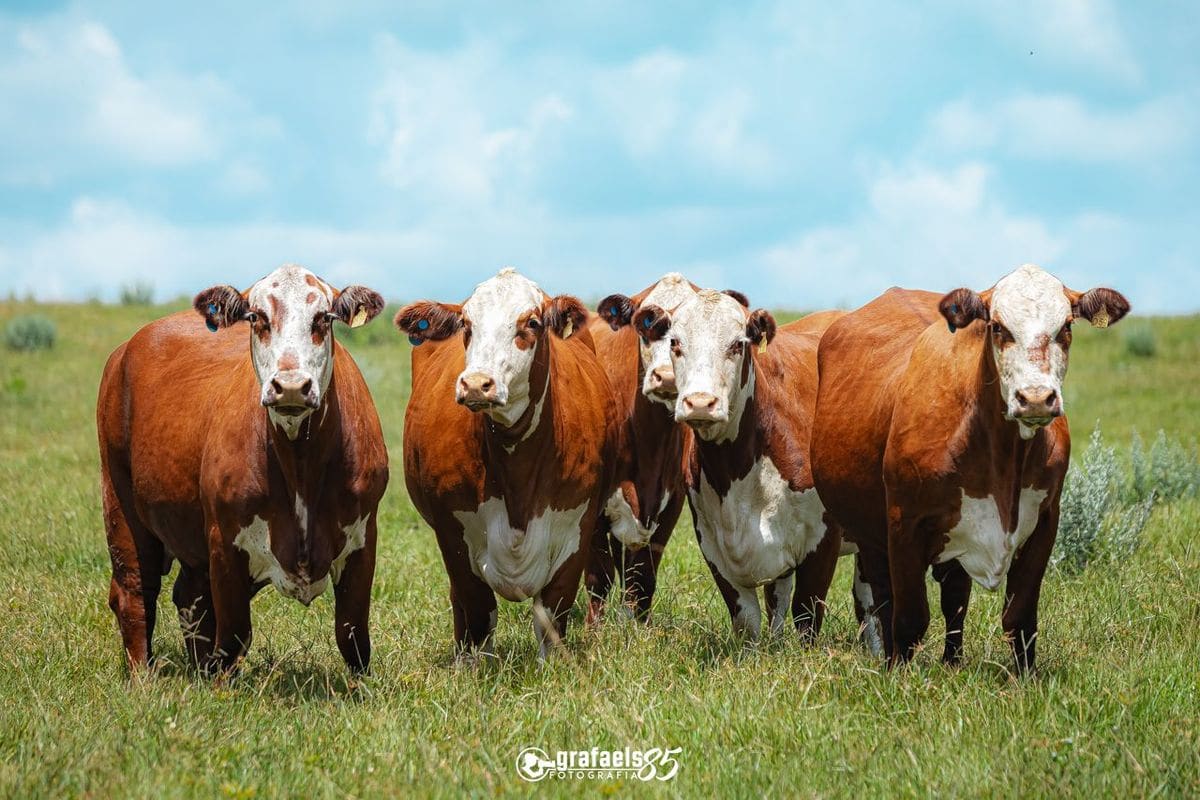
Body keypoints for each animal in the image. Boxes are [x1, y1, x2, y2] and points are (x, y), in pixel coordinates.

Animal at [96, 264, 389, 676]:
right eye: (257, 317)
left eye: (323, 318)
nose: (291, 386)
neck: (300, 463)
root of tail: (125, 350)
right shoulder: (224, 541)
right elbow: (234, 634)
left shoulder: (363, 539)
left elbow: (353, 637)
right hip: (120, 502)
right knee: (135, 592)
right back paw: (143, 677)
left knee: (190, 598)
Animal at [395, 268, 618, 659]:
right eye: (466, 323)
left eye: (531, 322)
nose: (475, 384)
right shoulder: (452, 531)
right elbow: (476, 611)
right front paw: (473, 666)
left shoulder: (577, 528)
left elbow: (552, 615)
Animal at [633, 289, 845, 640]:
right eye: (675, 342)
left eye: (737, 344)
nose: (700, 403)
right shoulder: (713, 544)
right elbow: (747, 620)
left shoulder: (823, 541)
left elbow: (807, 618)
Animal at [811, 264, 1130, 672]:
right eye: (997, 327)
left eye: (1066, 326)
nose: (1036, 398)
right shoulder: (903, 524)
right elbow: (909, 616)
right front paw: (899, 675)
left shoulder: (1045, 521)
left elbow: (1019, 616)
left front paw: (1024, 677)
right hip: (870, 532)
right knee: (883, 598)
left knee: (955, 598)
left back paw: (952, 661)